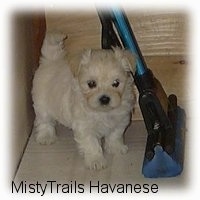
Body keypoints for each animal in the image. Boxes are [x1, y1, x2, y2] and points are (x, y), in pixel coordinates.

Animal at [32, 32, 136, 170]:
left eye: (116, 83)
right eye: (91, 84)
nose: (104, 98)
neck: (103, 112)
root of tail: (50, 61)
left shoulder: (120, 120)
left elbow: (115, 135)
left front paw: (116, 148)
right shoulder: (84, 126)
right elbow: (92, 144)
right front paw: (96, 160)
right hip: (42, 104)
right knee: (44, 122)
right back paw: (46, 137)